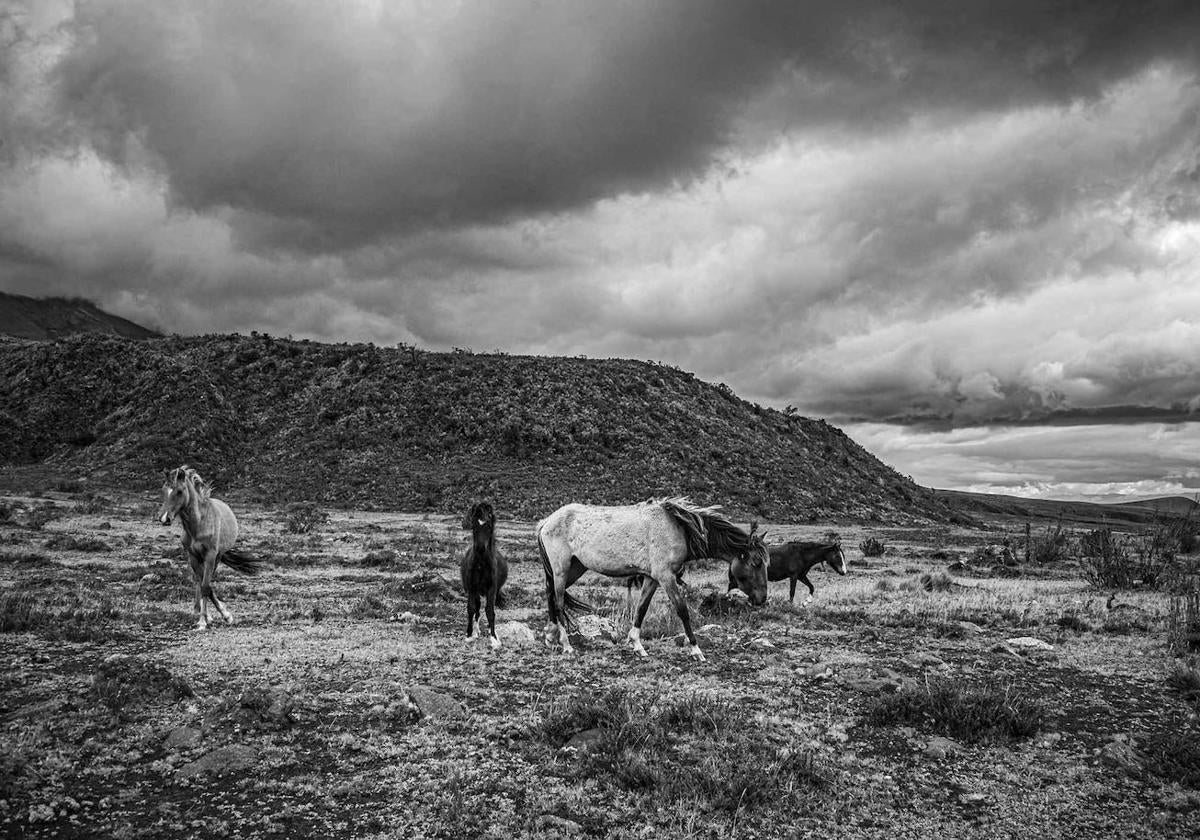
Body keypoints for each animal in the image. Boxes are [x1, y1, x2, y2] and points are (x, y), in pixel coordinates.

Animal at [157, 465, 262, 628]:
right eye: (163, 489)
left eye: (179, 491)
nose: (164, 518)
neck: (199, 523)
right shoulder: (193, 556)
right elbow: (202, 584)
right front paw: (207, 616)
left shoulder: (211, 556)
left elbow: (206, 586)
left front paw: (209, 620)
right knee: (198, 581)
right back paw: (200, 611)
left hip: (217, 557)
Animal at [456, 499, 508, 648]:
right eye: (474, 524)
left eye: (489, 525)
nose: (480, 548)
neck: (481, 564)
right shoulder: (472, 588)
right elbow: (471, 608)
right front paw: (469, 635)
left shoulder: (491, 589)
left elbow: (490, 611)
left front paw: (494, 638)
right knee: (477, 608)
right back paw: (476, 631)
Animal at [537, 494, 768, 657]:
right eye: (756, 562)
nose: (762, 599)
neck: (679, 527)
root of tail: (546, 521)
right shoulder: (666, 576)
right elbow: (682, 610)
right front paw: (696, 650)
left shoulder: (652, 578)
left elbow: (641, 608)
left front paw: (637, 645)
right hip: (561, 569)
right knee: (558, 602)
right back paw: (566, 644)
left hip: (575, 569)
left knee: (550, 595)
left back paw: (550, 637)